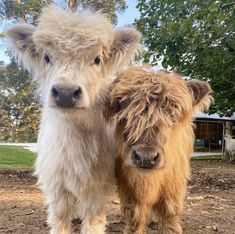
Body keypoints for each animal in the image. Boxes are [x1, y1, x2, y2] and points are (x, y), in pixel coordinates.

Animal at [6, 6, 140, 233]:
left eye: (97, 59)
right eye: (46, 57)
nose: (66, 92)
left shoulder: (96, 185)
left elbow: (93, 221)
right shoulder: (56, 185)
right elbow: (60, 219)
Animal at [105, 66, 212, 233]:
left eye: (173, 115)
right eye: (124, 116)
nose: (146, 157)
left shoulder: (174, 182)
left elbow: (169, 213)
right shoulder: (127, 185)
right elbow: (135, 215)